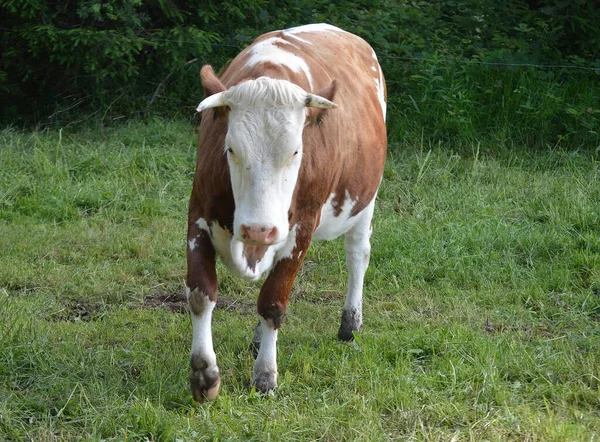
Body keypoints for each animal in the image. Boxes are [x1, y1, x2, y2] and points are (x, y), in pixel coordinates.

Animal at [185, 24, 386, 400]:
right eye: (230, 149)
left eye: (295, 151)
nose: (258, 229)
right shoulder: (198, 216)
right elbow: (201, 295)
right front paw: (204, 374)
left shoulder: (302, 229)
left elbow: (274, 302)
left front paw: (265, 375)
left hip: (366, 199)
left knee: (357, 255)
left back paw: (350, 323)